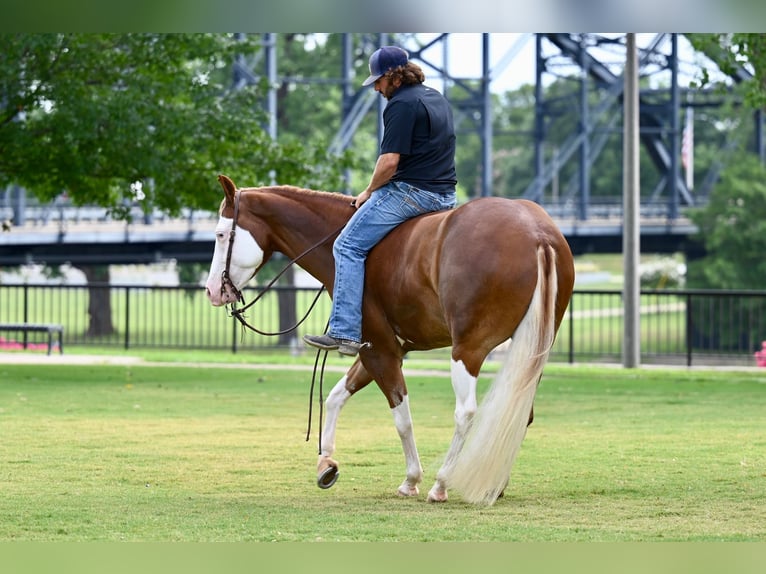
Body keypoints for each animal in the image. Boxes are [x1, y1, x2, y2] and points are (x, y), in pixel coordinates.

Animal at [206, 174, 576, 504]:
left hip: (468, 349)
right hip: (532, 350)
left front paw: (412, 479)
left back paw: (442, 484)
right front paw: (326, 463)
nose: (212, 290)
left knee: (466, 413)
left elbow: (401, 416)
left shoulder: (381, 351)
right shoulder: (376, 349)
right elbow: (336, 397)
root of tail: (536, 233)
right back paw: (494, 484)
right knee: (521, 412)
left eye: (221, 234)